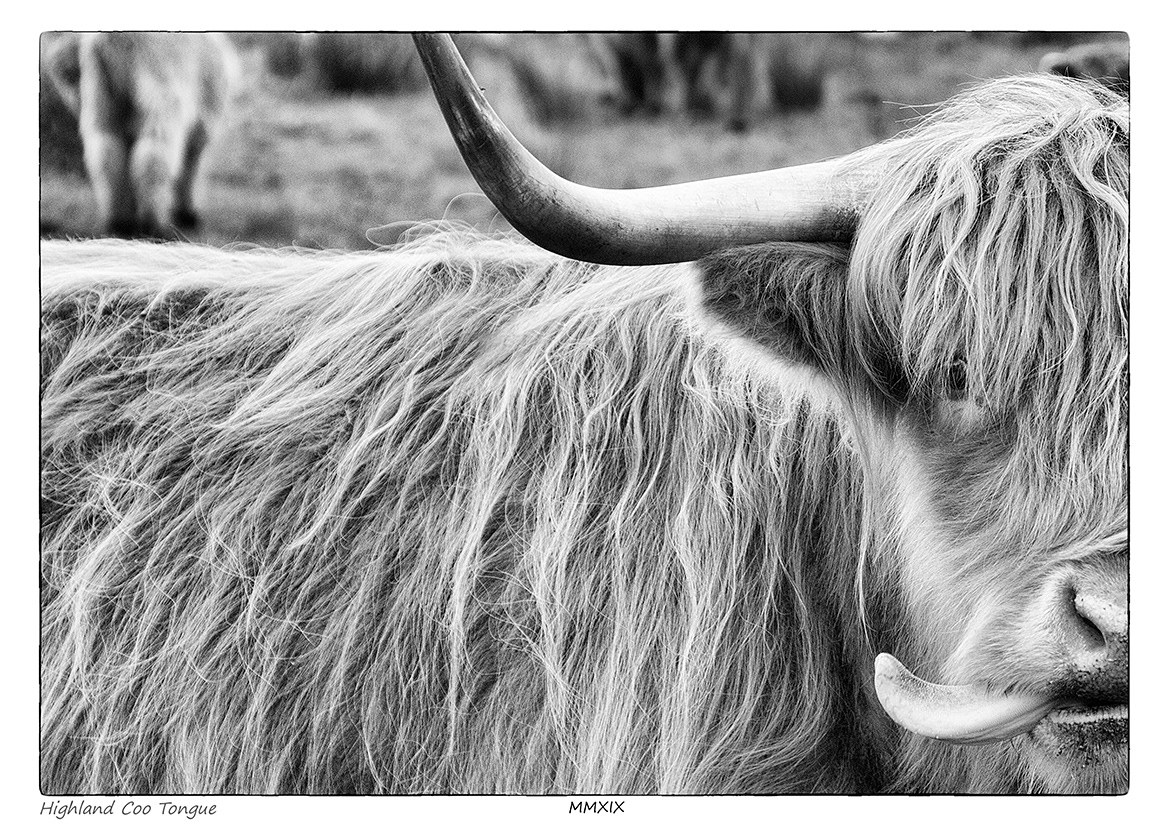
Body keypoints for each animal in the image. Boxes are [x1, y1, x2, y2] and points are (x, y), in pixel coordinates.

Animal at [42, 32, 238, 239]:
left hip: (101, 91)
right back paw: (153, 225)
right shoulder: (204, 118)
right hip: (160, 81)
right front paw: (188, 215)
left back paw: (120, 222)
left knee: (107, 150)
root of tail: (109, 41)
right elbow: (192, 163)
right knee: (154, 153)